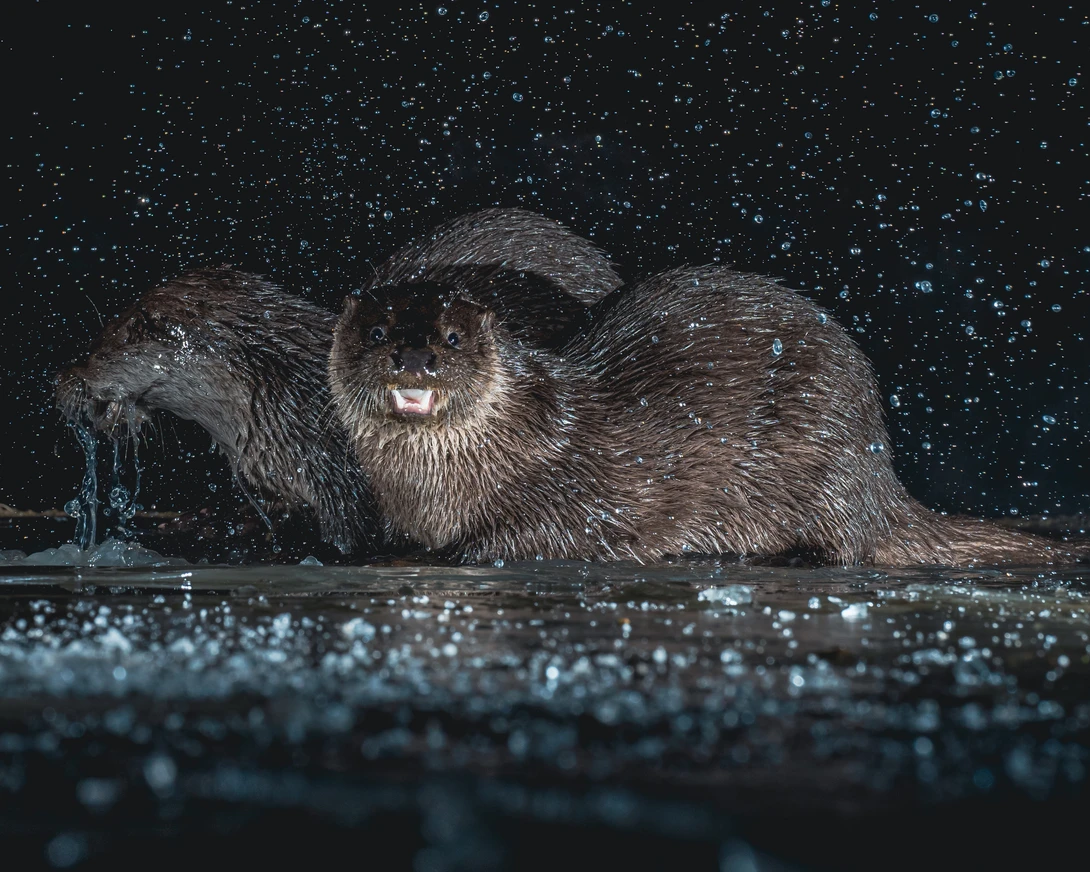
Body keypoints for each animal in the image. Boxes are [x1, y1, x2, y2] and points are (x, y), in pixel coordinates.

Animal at [329, 266, 1076, 566]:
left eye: (453, 338)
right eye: (379, 332)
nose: (415, 358)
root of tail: (880, 467)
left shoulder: (576, 489)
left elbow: (538, 535)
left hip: (825, 448)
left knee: (852, 540)